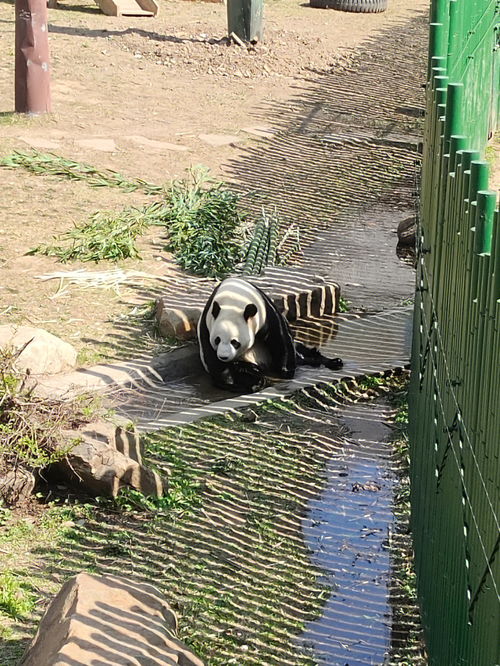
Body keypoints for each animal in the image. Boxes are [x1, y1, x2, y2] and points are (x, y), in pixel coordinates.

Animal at [197, 274, 342, 390]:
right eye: (217, 340)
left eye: (235, 342)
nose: (224, 356)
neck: (232, 299)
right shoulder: (207, 325)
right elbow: (214, 360)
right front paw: (231, 382)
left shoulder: (265, 311)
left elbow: (280, 338)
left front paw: (285, 371)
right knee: (243, 368)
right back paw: (256, 381)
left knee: (303, 352)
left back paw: (333, 362)